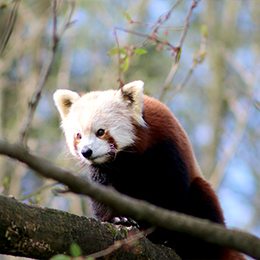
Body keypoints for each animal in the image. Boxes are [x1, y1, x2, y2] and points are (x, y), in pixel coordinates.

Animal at [53, 80, 246, 258]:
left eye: (100, 132)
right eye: (78, 136)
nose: (86, 152)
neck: (127, 159)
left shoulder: (165, 147)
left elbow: (170, 192)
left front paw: (162, 233)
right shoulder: (104, 169)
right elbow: (104, 194)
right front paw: (119, 219)